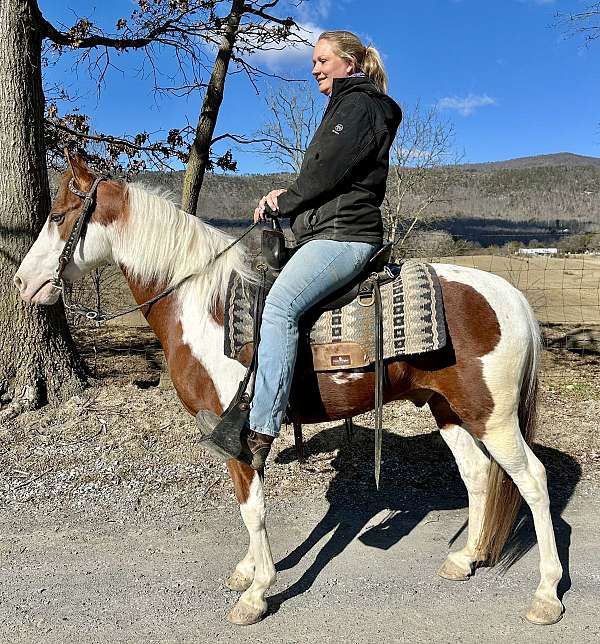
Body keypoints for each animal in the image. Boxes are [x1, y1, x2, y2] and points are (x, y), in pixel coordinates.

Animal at [14, 153, 564, 628]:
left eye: (58, 216)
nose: (22, 283)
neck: (202, 302)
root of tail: (509, 295)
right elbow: (247, 506)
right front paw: (247, 572)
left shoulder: (238, 432)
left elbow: (252, 508)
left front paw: (257, 593)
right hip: (447, 408)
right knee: (477, 475)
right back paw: (465, 559)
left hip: (493, 417)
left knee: (533, 480)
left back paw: (546, 595)